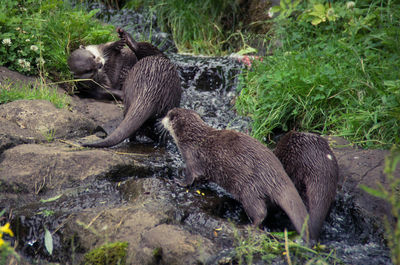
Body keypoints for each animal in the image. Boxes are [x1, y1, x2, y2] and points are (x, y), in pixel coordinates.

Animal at [161, 108, 314, 241]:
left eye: (168, 114)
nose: (160, 119)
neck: (193, 139)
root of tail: (275, 175)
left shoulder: (192, 157)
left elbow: (191, 176)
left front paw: (179, 181)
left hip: (250, 190)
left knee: (260, 211)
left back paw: (248, 225)